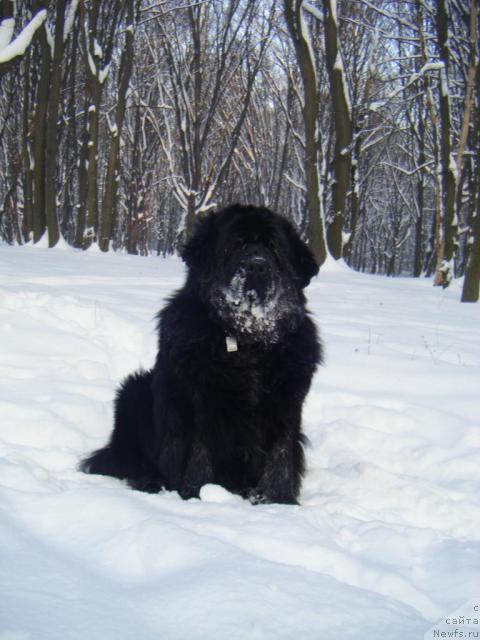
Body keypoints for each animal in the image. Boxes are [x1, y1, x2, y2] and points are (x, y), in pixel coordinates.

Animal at [81, 205, 322, 504]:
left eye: (273, 247)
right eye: (235, 244)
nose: (257, 264)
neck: (247, 341)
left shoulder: (286, 403)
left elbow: (281, 455)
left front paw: (279, 501)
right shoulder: (198, 400)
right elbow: (199, 451)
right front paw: (196, 494)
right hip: (133, 390)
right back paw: (150, 481)